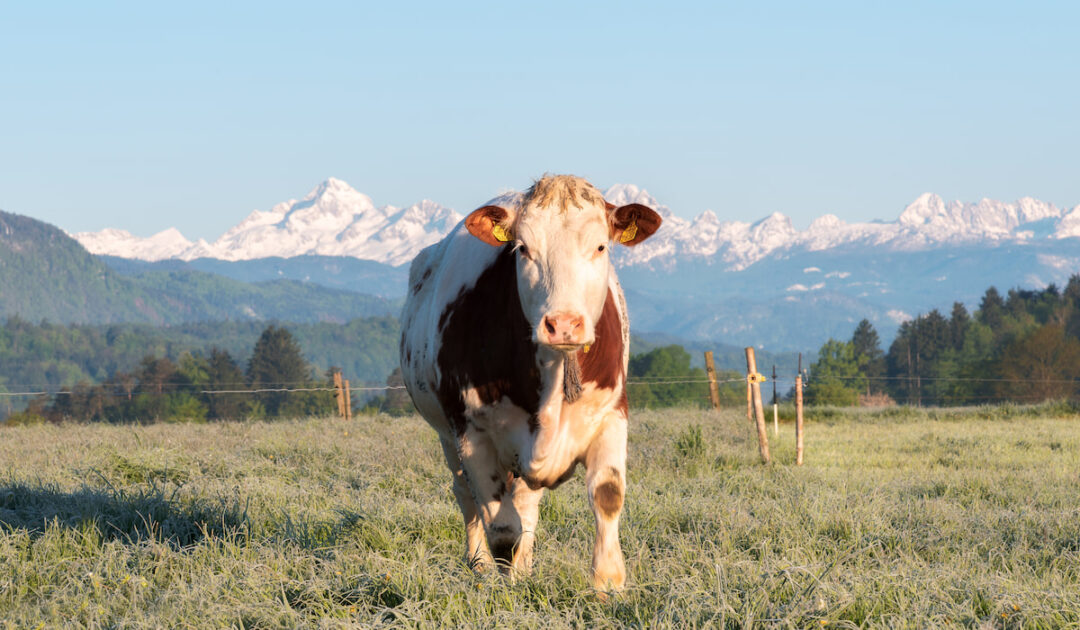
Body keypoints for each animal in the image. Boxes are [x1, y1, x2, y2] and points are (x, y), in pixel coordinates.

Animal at [398, 174, 661, 592]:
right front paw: (508, 587)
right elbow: (502, 526)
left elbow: (607, 494)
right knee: (466, 495)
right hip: (446, 435)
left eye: (600, 245)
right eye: (523, 249)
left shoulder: (612, 414)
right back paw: (479, 565)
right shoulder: (471, 431)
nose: (563, 324)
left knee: (525, 501)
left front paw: (608, 584)